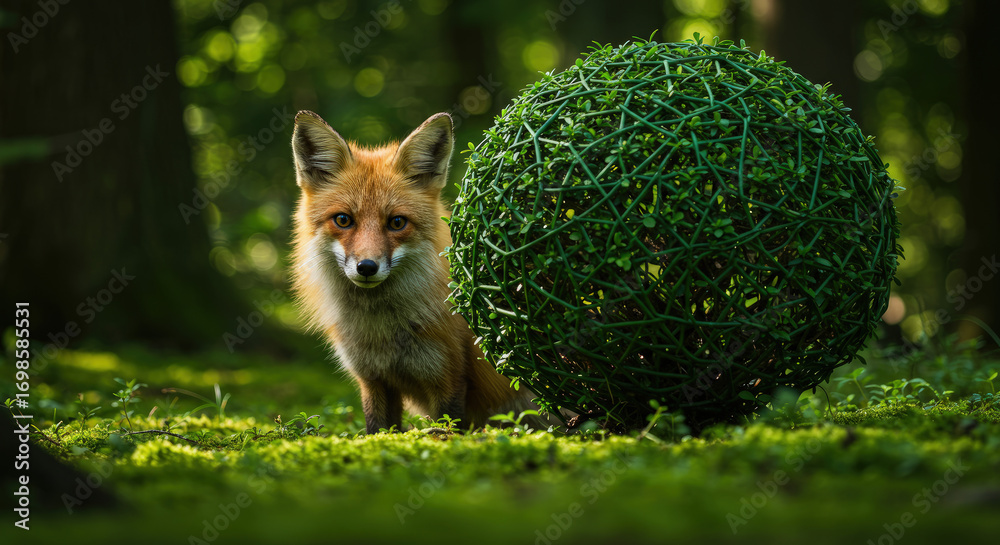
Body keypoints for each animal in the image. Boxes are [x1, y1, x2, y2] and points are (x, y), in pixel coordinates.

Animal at [290, 110, 541, 433]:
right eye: (343, 220)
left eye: (397, 222)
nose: (367, 267)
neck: (383, 333)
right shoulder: (373, 381)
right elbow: (377, 429)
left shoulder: (449, 378)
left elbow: (448, 428)